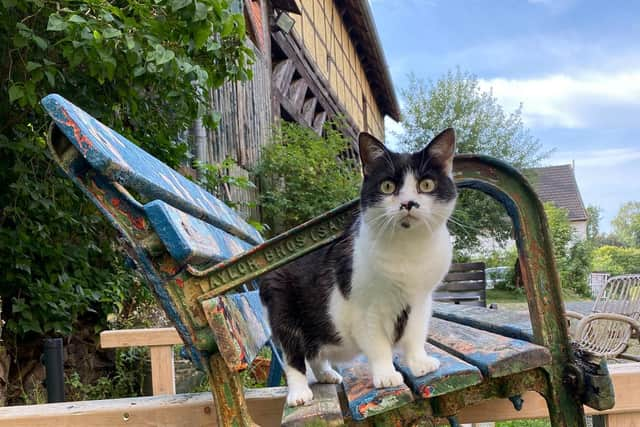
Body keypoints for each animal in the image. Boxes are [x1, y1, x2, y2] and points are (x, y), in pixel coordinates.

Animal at [258, 128, 458, 408]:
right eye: (387, 186)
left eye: (426, 185)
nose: (408, 203)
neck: (408, 250)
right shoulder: (364, 308)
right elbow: (378, 344)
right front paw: (386, 375)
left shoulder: (421, 300)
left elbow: (416, 333)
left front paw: (419, 363)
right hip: (284, 309)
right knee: (293, 355)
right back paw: (299, 393)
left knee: (315, 351)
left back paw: (326, 375)